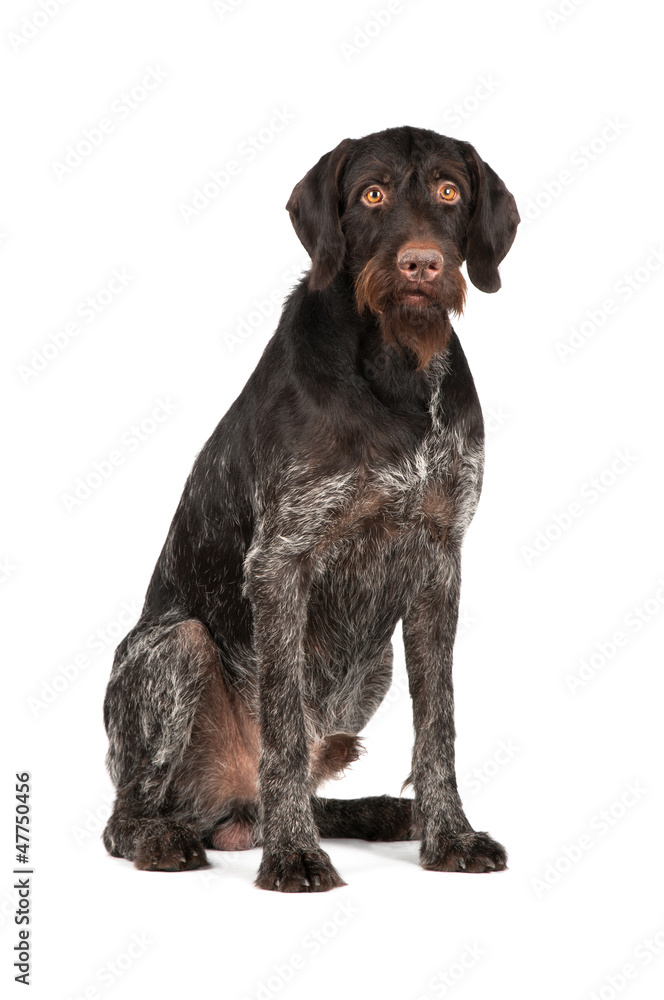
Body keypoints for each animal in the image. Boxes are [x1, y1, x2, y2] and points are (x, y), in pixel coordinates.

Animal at [102, 125, 520, 892]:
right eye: (372, 194)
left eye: (450, 190)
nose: (422, 263)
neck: (394, 372)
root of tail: (227, 808)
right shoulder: (280, 563)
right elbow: (286, 730)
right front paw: (293, 854)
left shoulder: (440, 564)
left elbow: (438, 724)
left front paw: (450, 834)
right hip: (173, 650)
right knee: (129, 815)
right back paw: (166, 837)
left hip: (373, 663)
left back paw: (377, 812)